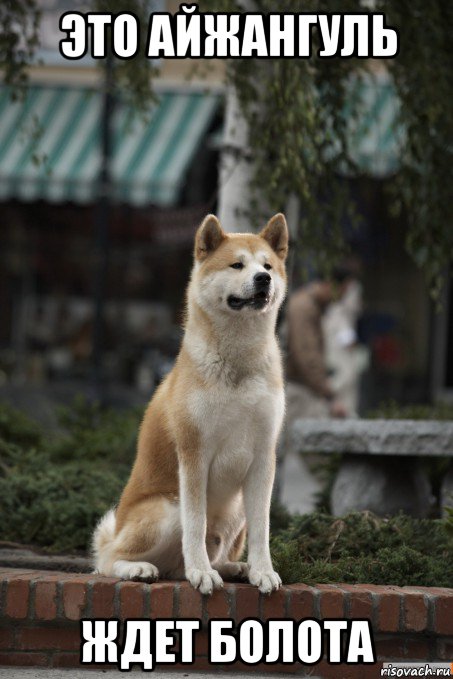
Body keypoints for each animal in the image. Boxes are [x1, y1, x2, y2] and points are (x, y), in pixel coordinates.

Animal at [93, 212, 288, 596]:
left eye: (268, 266)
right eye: (237, 264)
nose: (263, 279)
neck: (237, 364)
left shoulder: (263, 457)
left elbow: (262, 530)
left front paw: (263, 571)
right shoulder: (194, 454)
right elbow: (195, 526)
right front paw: (201, 573)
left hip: (236, 509)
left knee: (203, 558)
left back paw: (235, 568)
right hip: (167, 508)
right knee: (108, 560)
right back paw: (142, 568)